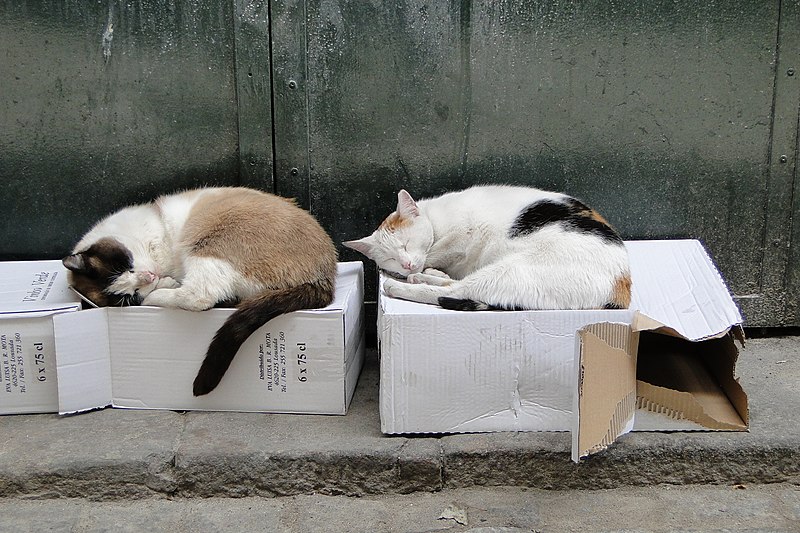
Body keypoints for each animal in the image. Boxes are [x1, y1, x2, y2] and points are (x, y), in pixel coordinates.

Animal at [63, 185, 338, 392]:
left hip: (205, 242)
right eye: (130, 295)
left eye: (126, 266)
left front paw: (162, 284)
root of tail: (326, 277)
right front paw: (160, 284)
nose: (148, 277)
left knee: (199, 297)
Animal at [344, 185, 632, 312]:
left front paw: (416, 269)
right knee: (455, 286)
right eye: (390, 258)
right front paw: (423, 271)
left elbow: (437, 252)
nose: (404, 265)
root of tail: (623, 285)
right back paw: (426, 277)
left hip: (511, 270)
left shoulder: (464, 235)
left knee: (454, 291)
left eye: (407, 244)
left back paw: (401, 285)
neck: (436, 220)